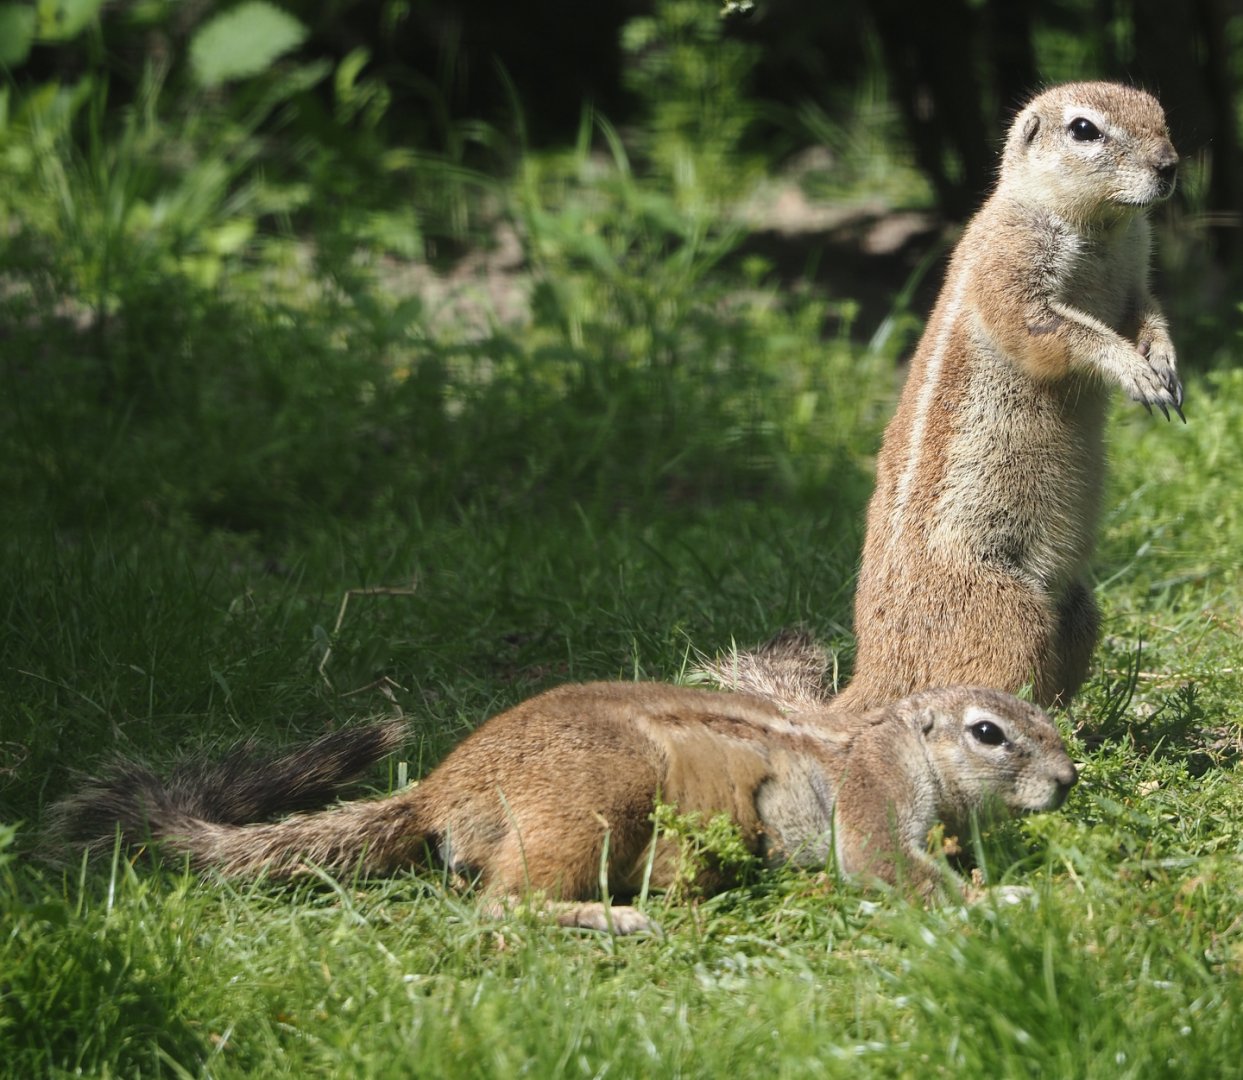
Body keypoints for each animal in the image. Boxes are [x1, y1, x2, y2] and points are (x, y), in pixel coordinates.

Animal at [827, 81, 1181, 713]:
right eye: (1084, 130)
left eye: (1161, 115)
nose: (1170, 166)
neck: (1104, 229)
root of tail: (875, 673)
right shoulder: (1013, 271)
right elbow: (1061, 332)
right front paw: (1130, 369)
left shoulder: (1135, 279)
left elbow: (1147, 314)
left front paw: (1162, 362)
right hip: (1012, 616)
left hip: (1079, 610)